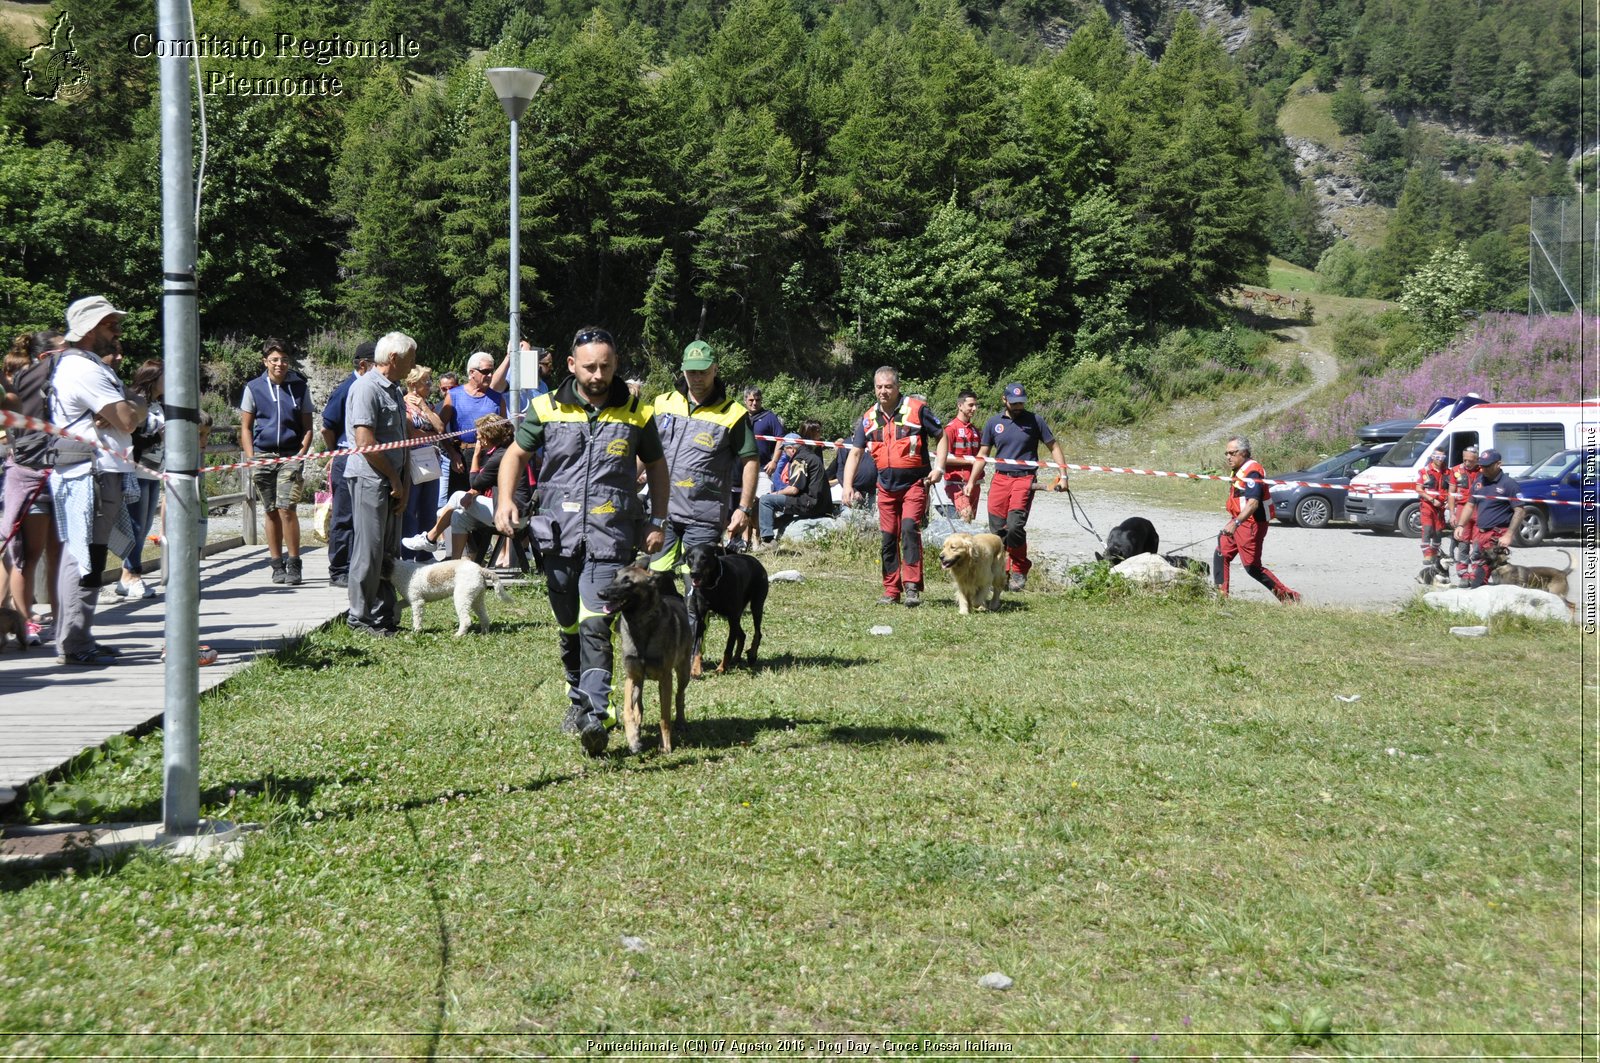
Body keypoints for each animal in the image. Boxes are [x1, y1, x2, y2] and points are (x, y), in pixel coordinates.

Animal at [598, 560, 691, 752]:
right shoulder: (631, 676)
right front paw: (633, 738)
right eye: (614, 576)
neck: (640, 626)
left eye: (628, 582)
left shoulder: (666, 678)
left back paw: (681, 722)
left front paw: (665, 745)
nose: (601, 593)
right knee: (638, 707)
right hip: (639, 681)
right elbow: (628, 710)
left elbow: (664, 717)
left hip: (683, 672)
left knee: (680, 696)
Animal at [681, 544, 768, 675]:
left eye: (704, 557)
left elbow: (728, 647)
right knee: (742, 635)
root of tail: (755, 561)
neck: (713, 585)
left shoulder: (732, 616)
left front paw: (721, 668)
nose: (694, 573)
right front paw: (695, 669)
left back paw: (752, 654)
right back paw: (736, 658)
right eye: (690, 557)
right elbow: (697, 646)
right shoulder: (701, 617)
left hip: (756, 605)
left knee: (758, 632)